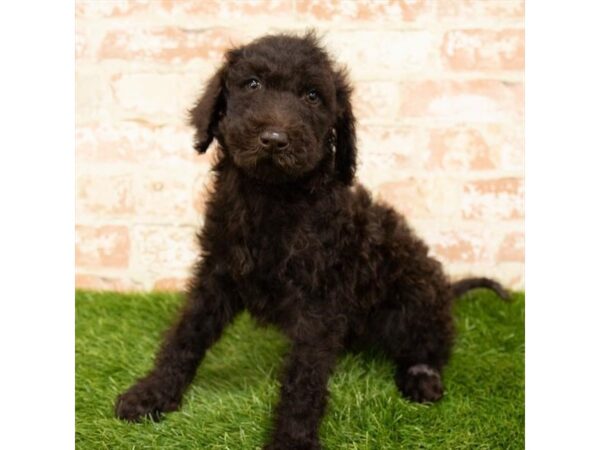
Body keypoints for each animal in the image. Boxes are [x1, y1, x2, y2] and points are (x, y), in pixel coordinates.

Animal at [115, 32, 508, 450]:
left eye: (313, 97)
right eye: (252, 84)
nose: (274, 140)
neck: (272, 196)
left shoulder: (319, 299)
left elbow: (305, 375)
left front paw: (293, 439)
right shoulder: (218, 271)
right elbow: (187, 334)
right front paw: (152, 392)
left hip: (412, 292)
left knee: (431, 339)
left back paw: (422, 376)